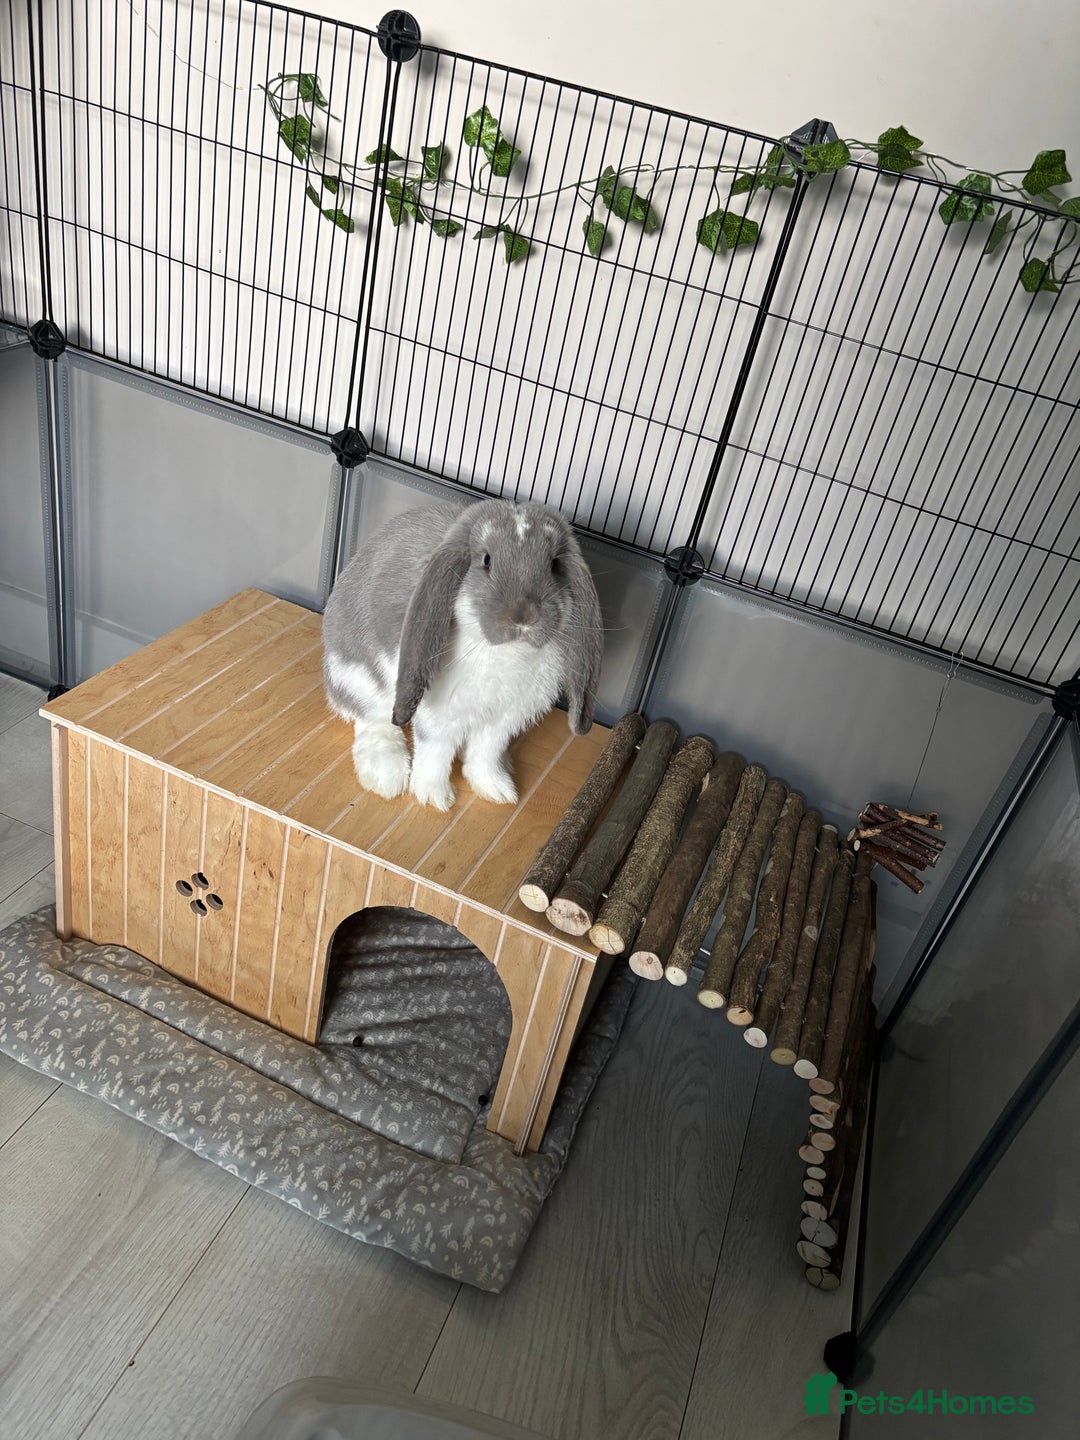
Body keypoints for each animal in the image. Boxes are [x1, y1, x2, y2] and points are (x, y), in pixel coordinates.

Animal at [322, 497, 603, 811]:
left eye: (554, 564)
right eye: (487, 560)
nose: (524, 618)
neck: (505, 652)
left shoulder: (502, 720)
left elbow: (485, 753)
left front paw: (497, 790)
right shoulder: (439, 716)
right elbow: (435, 754)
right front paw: (434, 797)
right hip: (363, 685)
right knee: (371, 721)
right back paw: (387, 776)